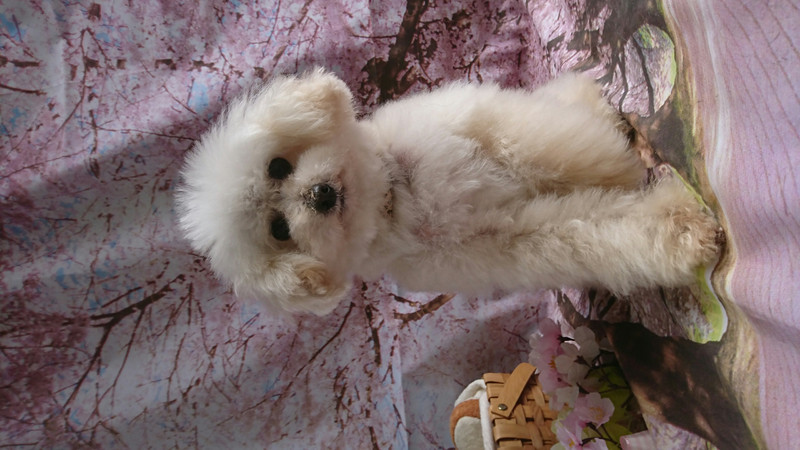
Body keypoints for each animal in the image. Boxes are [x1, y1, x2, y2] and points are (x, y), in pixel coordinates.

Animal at [176, 69, 720, 315]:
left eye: (277, 165)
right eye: (279, 231)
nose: (320, 195)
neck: (393, 198)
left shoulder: (481, 126)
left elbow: (550, 150)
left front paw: (614, 162)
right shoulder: (503, 242)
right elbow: (588, 228)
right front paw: (681, 229)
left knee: (567, 104)